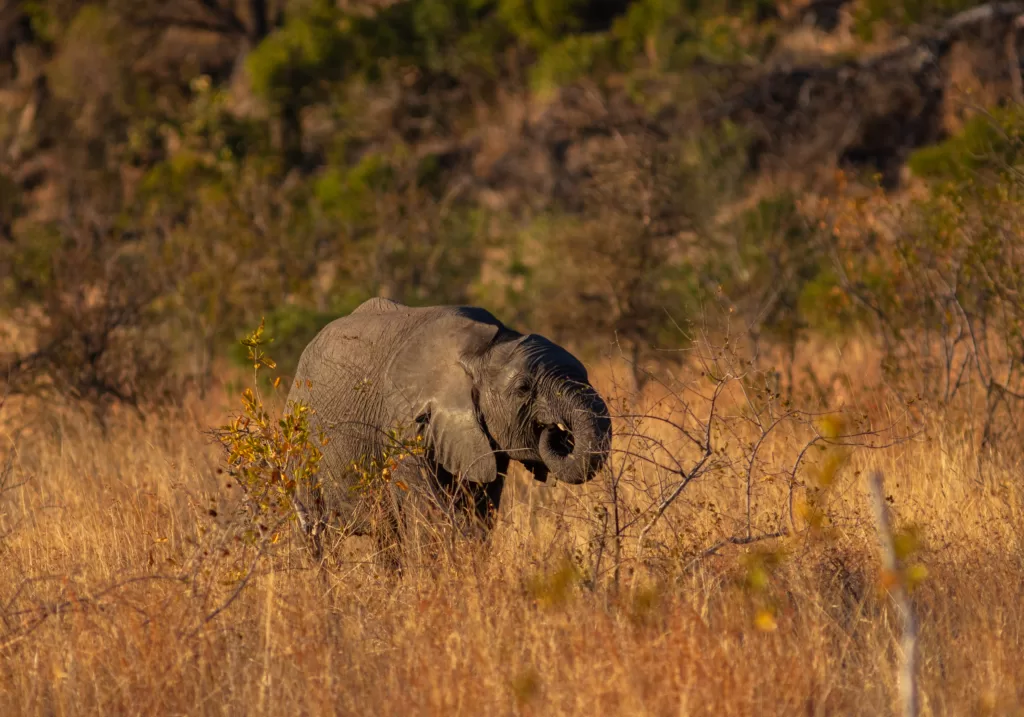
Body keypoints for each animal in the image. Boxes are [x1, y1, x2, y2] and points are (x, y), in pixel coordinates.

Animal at [284, 294, 610, 561]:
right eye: (523, 388)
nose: (556, 430)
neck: (480, 352)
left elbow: (481, 511)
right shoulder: (403, 424)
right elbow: (429, 516)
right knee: (315, 533)